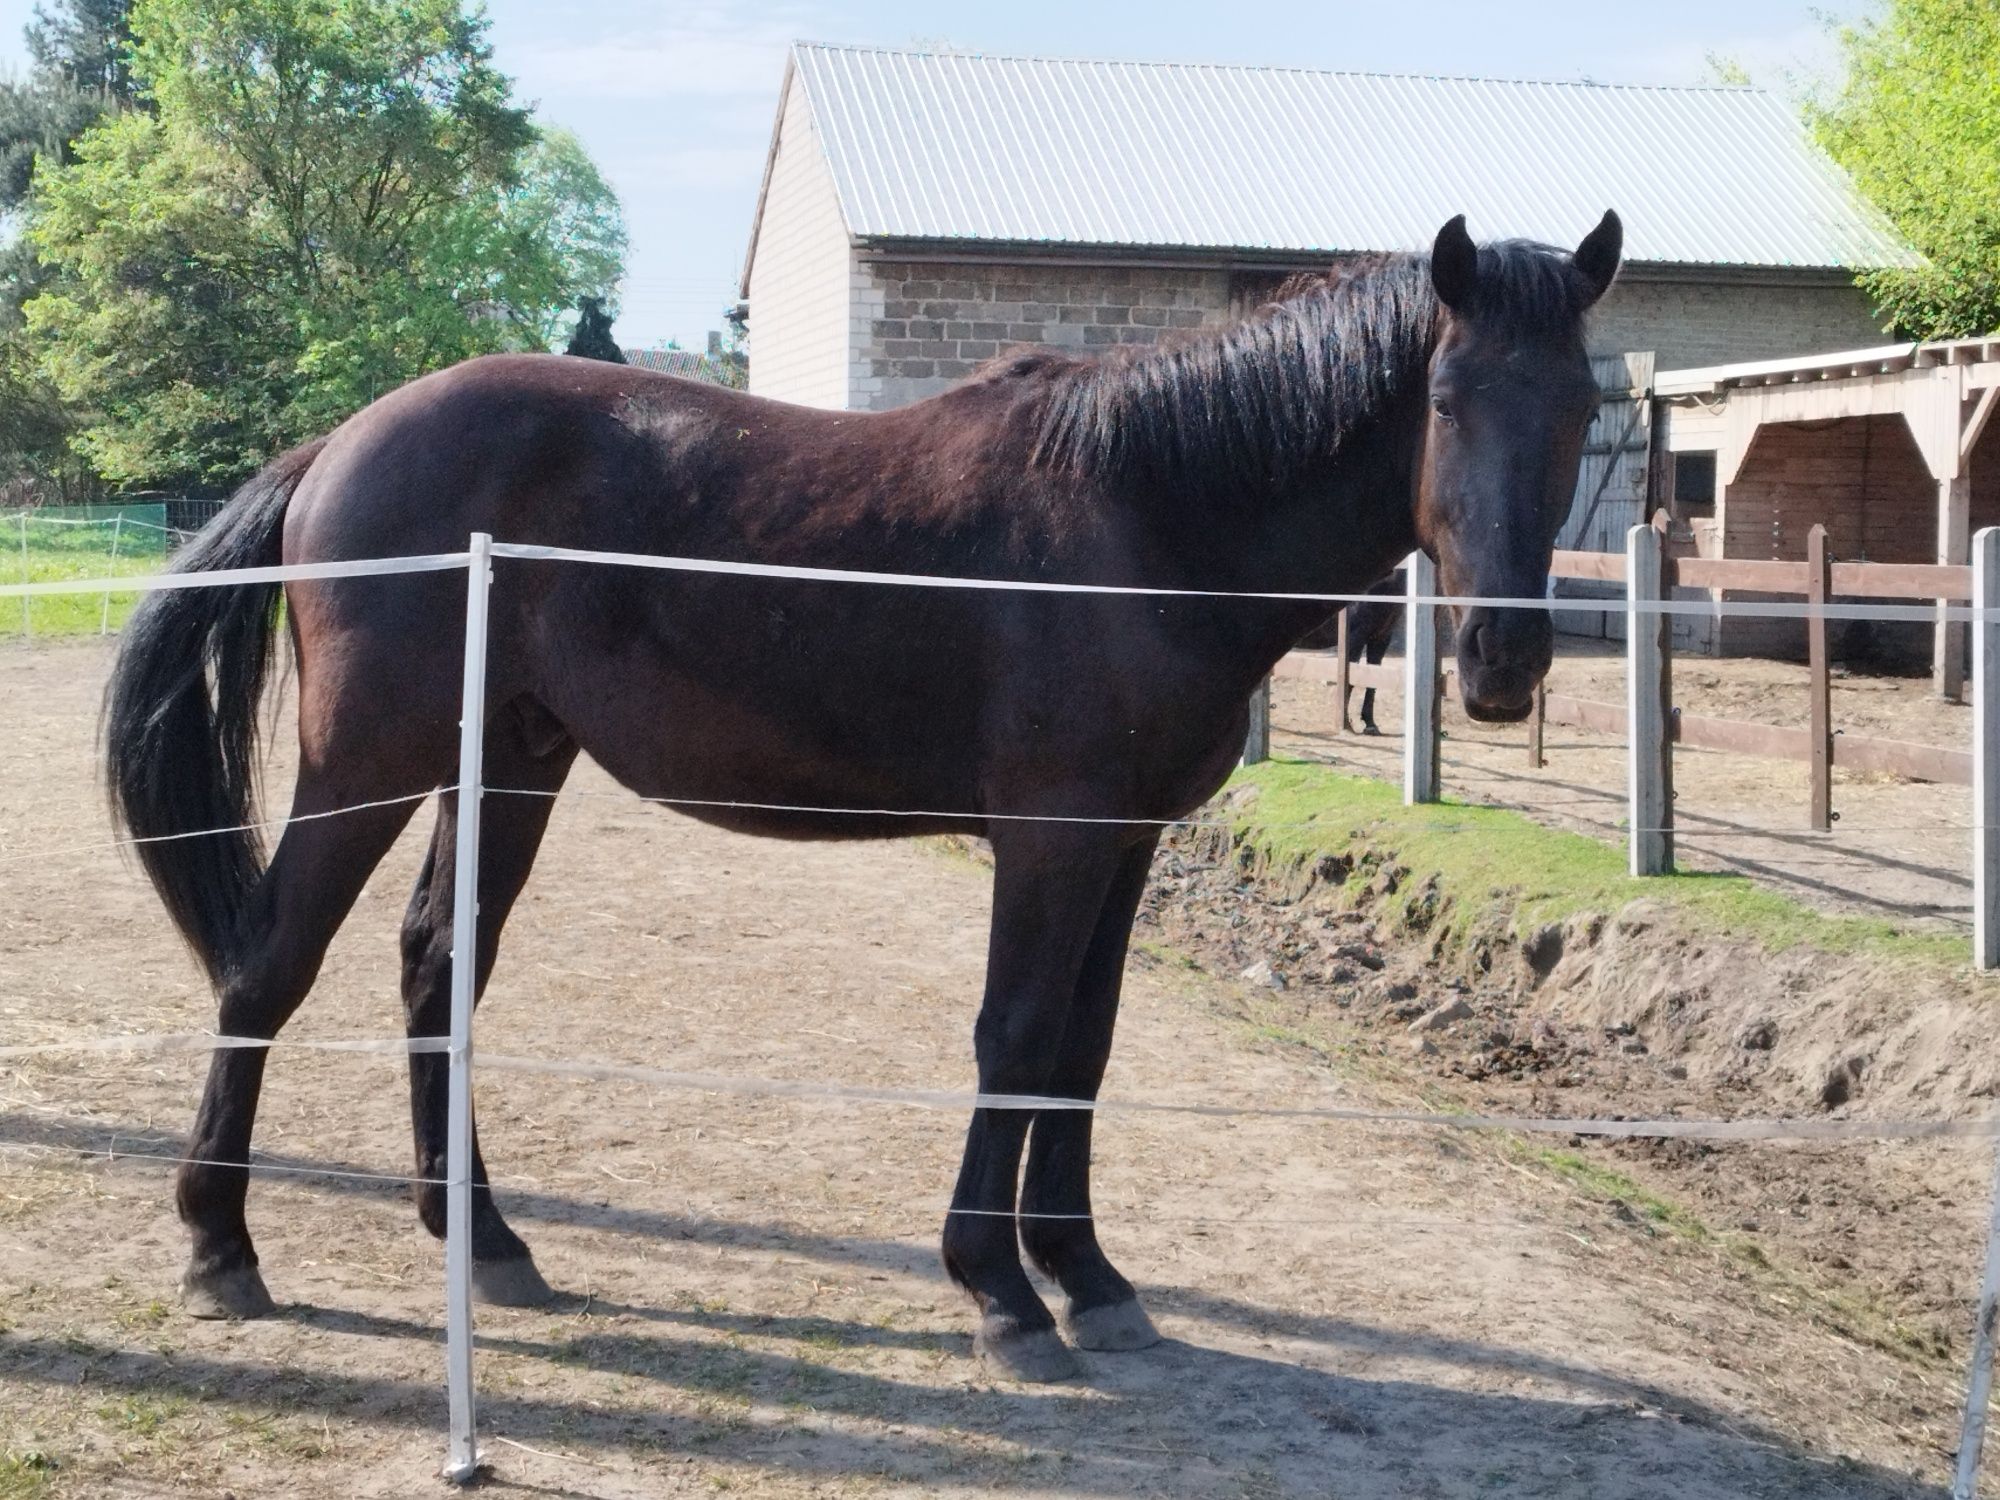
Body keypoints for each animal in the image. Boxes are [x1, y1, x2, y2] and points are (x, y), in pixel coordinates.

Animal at [101, 212, 1616, 1384]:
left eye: (1583, 409)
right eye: (1444, 400)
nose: (1502, 660)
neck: (1146, 514)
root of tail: (340, 445)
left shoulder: (1123, 844)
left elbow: (1083, 1051)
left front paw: (1089, 1277)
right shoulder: (1052, 838)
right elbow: (1016, 1037)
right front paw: (1000, 1293)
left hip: (512, 759)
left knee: (436, 965)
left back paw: (484, 1244)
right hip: (368, 766)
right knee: (269, 967)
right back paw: (220, 1248)